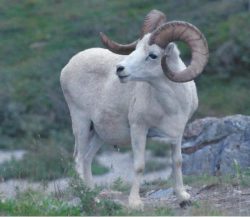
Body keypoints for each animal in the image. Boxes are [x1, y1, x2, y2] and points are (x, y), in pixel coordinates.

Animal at [61, 9, 209, 209]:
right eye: (136, 48)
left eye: (153, 55)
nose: (120, 69)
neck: (171, 105)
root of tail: (67, 67)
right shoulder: (139, 129)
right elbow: (139, 165)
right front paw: (135, 203)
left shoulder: (177, 133)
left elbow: (177, 162)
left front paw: (183, 198)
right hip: (81, 124)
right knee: (78, 159)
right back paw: (87, 199)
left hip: (99, 133)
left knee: (87, 159)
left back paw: (94, 198)